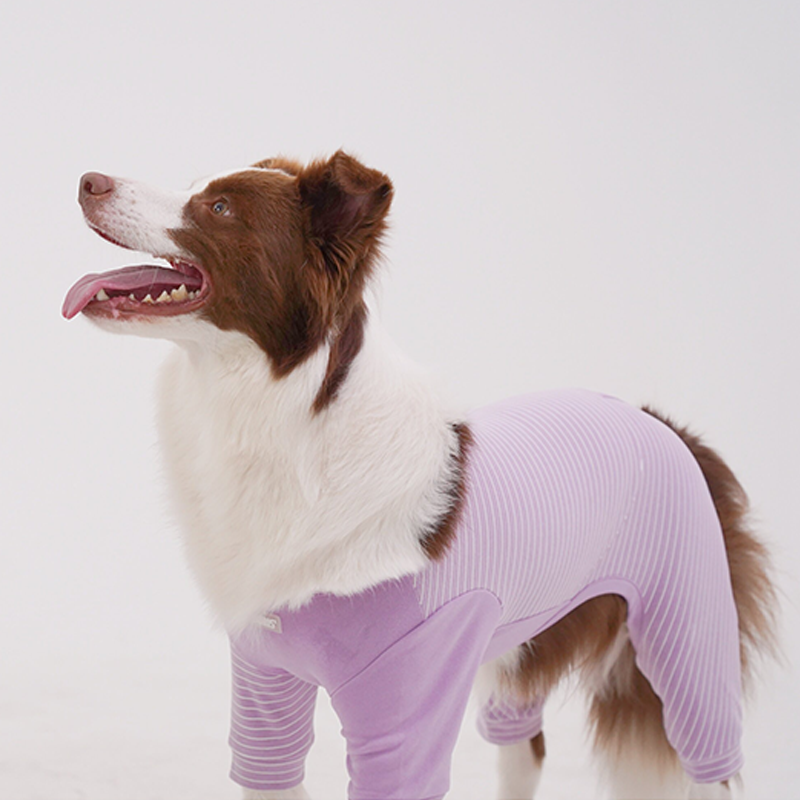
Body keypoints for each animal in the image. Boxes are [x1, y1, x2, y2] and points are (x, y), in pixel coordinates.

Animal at [63, 152, 776, 800]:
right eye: (196, 184)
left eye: (219, 208)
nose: (88, 180)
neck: (286, 416)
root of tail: (666, 425)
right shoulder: (266, 682)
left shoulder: (406, 701)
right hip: (521, 649)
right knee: (523, 748)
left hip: (685, 629)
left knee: (706, 755)